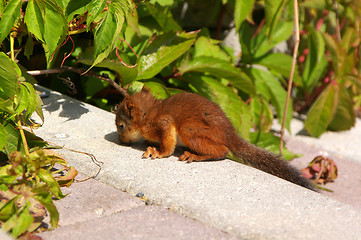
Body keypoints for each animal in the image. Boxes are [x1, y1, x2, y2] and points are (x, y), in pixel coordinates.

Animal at [115, 88, 316, 191]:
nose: (121, 141)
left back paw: (194, 155)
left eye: (121, 126)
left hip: (189, 131)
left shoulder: (164, 124)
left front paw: (156, 152)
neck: (149, 112)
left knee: (222, 151)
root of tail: (229, 135)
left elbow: (168, 146)